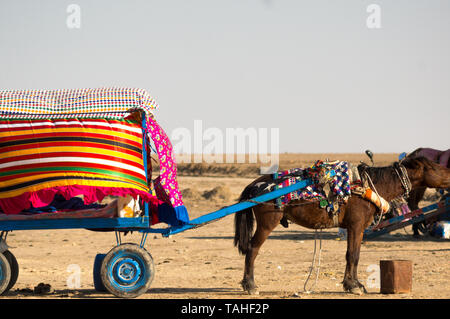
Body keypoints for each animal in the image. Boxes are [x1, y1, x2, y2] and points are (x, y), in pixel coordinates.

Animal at [234, 157, 450, 296]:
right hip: (266, 224)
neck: (368, 186)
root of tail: (254, 185)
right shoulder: (356, 226)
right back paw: (250, 285)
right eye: (434, 167)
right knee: (252, 250)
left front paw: (353, 284)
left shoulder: (357, 228)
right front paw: (353, 286)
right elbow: (353, 255)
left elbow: (353, 255)